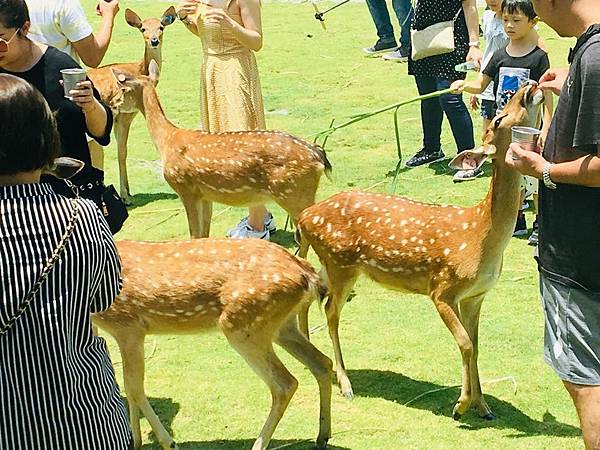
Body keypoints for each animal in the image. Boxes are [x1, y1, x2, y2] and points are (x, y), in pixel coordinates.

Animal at [87, 7, 177, 203]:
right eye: (142, 28)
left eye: (161, 27)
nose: (154, 40)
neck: (139, 69)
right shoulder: (125, 113)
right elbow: (122, 152)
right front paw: (125, 197)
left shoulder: (124, 115)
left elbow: (123, 151)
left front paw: (127, 191)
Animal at [92, 238, 333, 450]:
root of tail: (308, 274)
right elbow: (129, 387)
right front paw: (136, 441)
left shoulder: (128, 326)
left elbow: (134, 388)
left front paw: (168, 443)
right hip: (282, 326)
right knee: (322, 363)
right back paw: (322, 436)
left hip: (244, 325)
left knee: (285, 383)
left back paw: (259, 444)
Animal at [111, 60, 332, 239]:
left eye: (123, 90)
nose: (113, 104)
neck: (166, 140)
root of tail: (318, 156)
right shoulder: (204, 194)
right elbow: (204, 234)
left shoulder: (184, 187)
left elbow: (194, 235)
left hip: (293, 193)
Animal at [296, 83, 544, 421]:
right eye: (497, 119)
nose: (530, 85)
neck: (480, 236)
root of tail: (304, 217)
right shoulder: (442, 289)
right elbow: (465, 343)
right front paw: (461, 405)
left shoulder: (476, 295)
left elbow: (476, 345)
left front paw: (483, 407)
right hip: (340, 263)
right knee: (330, 310)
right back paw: (345, 383)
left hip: (331, 263)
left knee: (312, 296)